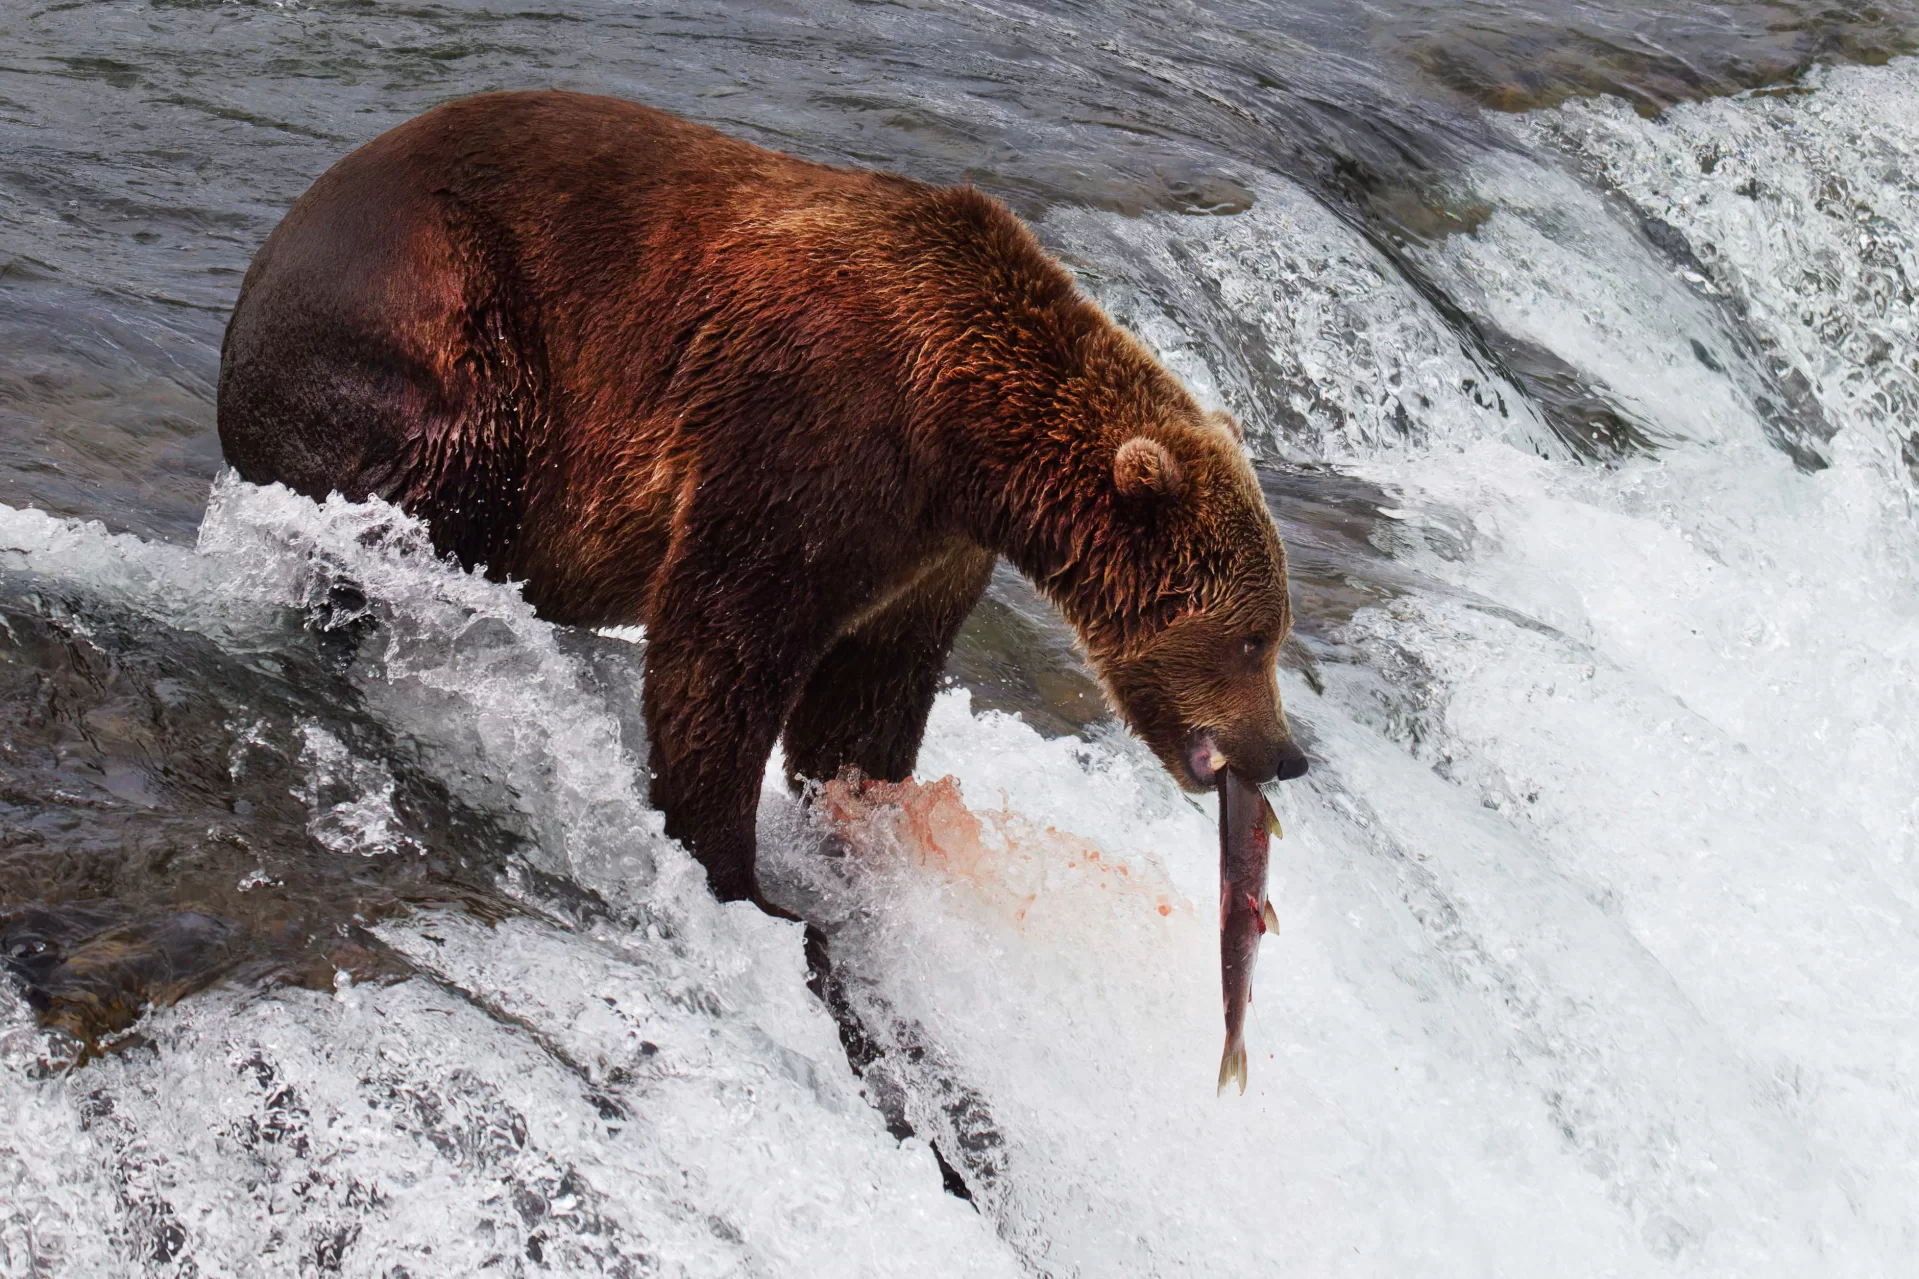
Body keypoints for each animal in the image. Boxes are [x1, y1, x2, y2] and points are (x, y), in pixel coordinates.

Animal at [220, 89, 1304, 906]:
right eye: (1253, 637)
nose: (1286, 753)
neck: (964, 435)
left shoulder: (928, 548)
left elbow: (865, 698)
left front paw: (864, 828)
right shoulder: (814, 430)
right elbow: (725, 641)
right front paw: (735, 870)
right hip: (438, 322)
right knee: (438, 480)